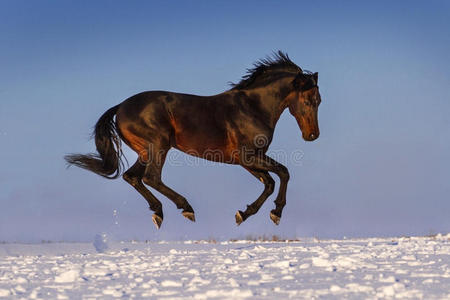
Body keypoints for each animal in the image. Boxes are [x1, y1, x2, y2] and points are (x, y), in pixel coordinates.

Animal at [65, 52, 322, 230]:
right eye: (309, 100)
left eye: (319, 100)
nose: (312, 135)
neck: (252, 107)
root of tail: (120, 107)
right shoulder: (248, 156)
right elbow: (284, 173)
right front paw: (275, 213)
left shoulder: (246, 161)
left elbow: (269, 182)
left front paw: (244, 214)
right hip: (158, 145)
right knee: (151, 177)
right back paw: (186, 209)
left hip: (145, 151)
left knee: (132, 177)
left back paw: (158, 213)